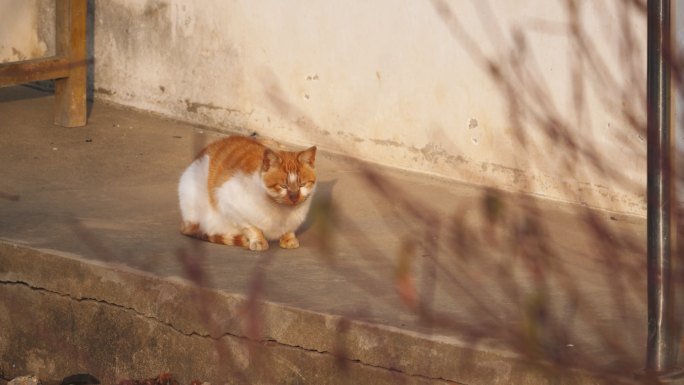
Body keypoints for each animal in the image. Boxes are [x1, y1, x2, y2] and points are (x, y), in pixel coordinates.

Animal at [176, 134, 316, 249]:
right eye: (283, 186)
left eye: (302, 185)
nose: (294, 197)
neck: (284, 212)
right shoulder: (227, 203)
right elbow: (251, 227)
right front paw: (258, 241)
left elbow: (289, 230)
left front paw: (289, 238)